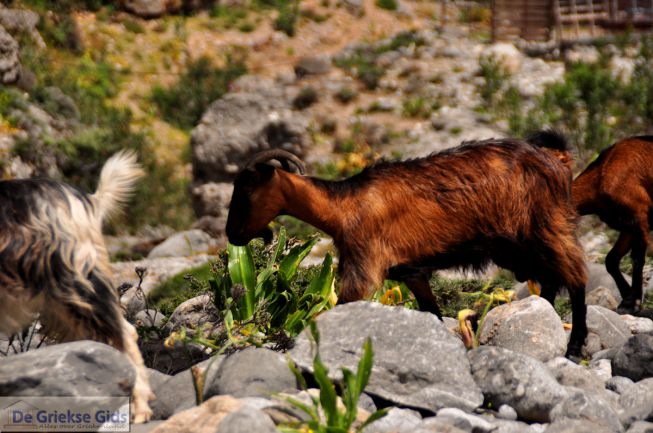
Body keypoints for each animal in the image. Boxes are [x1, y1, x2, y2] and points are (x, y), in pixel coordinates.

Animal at [227, 132, 588, 358]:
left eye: (245, 191)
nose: (232, 235)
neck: (344, 206)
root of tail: (558, 158)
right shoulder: (410, 272)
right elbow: (432, 312)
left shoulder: (364, 265)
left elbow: (343, 307)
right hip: (521, 246)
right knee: (552, 280)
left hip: (547, 226)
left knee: (576, 276)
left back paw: (574, 347)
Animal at [572, 134, 652, 310]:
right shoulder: (628, 225)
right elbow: (611, 259)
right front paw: (627, 298)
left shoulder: (640, 216)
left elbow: (637, 258)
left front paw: (634, 301)